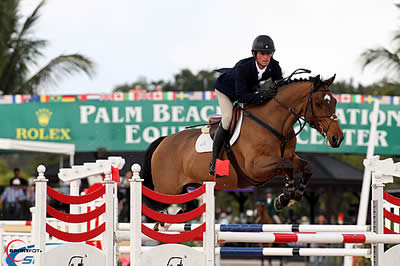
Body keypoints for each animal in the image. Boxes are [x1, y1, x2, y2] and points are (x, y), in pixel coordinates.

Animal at [141, 74, 344, 212]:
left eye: (334, 101)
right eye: (318, 103)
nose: (337, 138)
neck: (274, 124)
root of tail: (162, 141)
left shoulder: (286, 159)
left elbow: (305, 166)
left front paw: (293, 194)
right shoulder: (255, 167)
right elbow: (287, 166)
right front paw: (285, 197)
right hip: (167, 190)